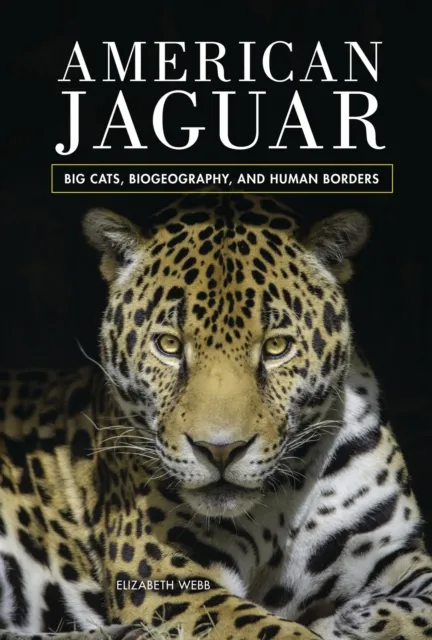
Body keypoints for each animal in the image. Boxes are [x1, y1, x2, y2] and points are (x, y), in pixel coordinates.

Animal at [1, 192, 431, 640]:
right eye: (169, 345)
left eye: (276, 347)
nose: (220, 451)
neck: (281, 501)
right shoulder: (166, 578)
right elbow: (274, 630)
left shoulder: (397, 551)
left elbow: (423, 607)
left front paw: (360, 617)